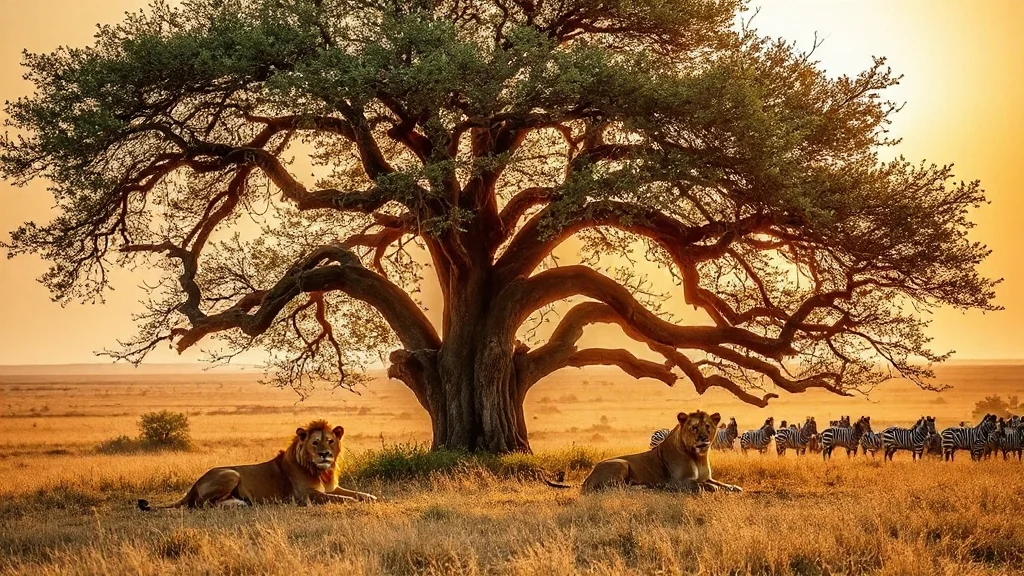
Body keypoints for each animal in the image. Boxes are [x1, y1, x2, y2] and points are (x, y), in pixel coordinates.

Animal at [137, 420, 376, 510]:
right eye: (315, 442)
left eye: (331, 441)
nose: (325, 454)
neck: (319, 470)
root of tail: (195, 482)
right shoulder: (305, 495)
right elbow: (338, 498)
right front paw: (354, 501)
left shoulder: (332, 486)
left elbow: (355, 493)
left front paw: (370, 497)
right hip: (231, 474)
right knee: (200, 504)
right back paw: (236, 504)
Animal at [550, 411, 742, 493]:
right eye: (694, 427)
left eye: (708, 426)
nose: (703, 437)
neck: (698, 456)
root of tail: (588, 476)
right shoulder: (675, 482)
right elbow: (700, 485)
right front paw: (711, 488)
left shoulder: (707, 476)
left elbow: (722, 484)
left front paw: (734, 487)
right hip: (621, 463)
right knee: (613, 487)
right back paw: (641, 487)